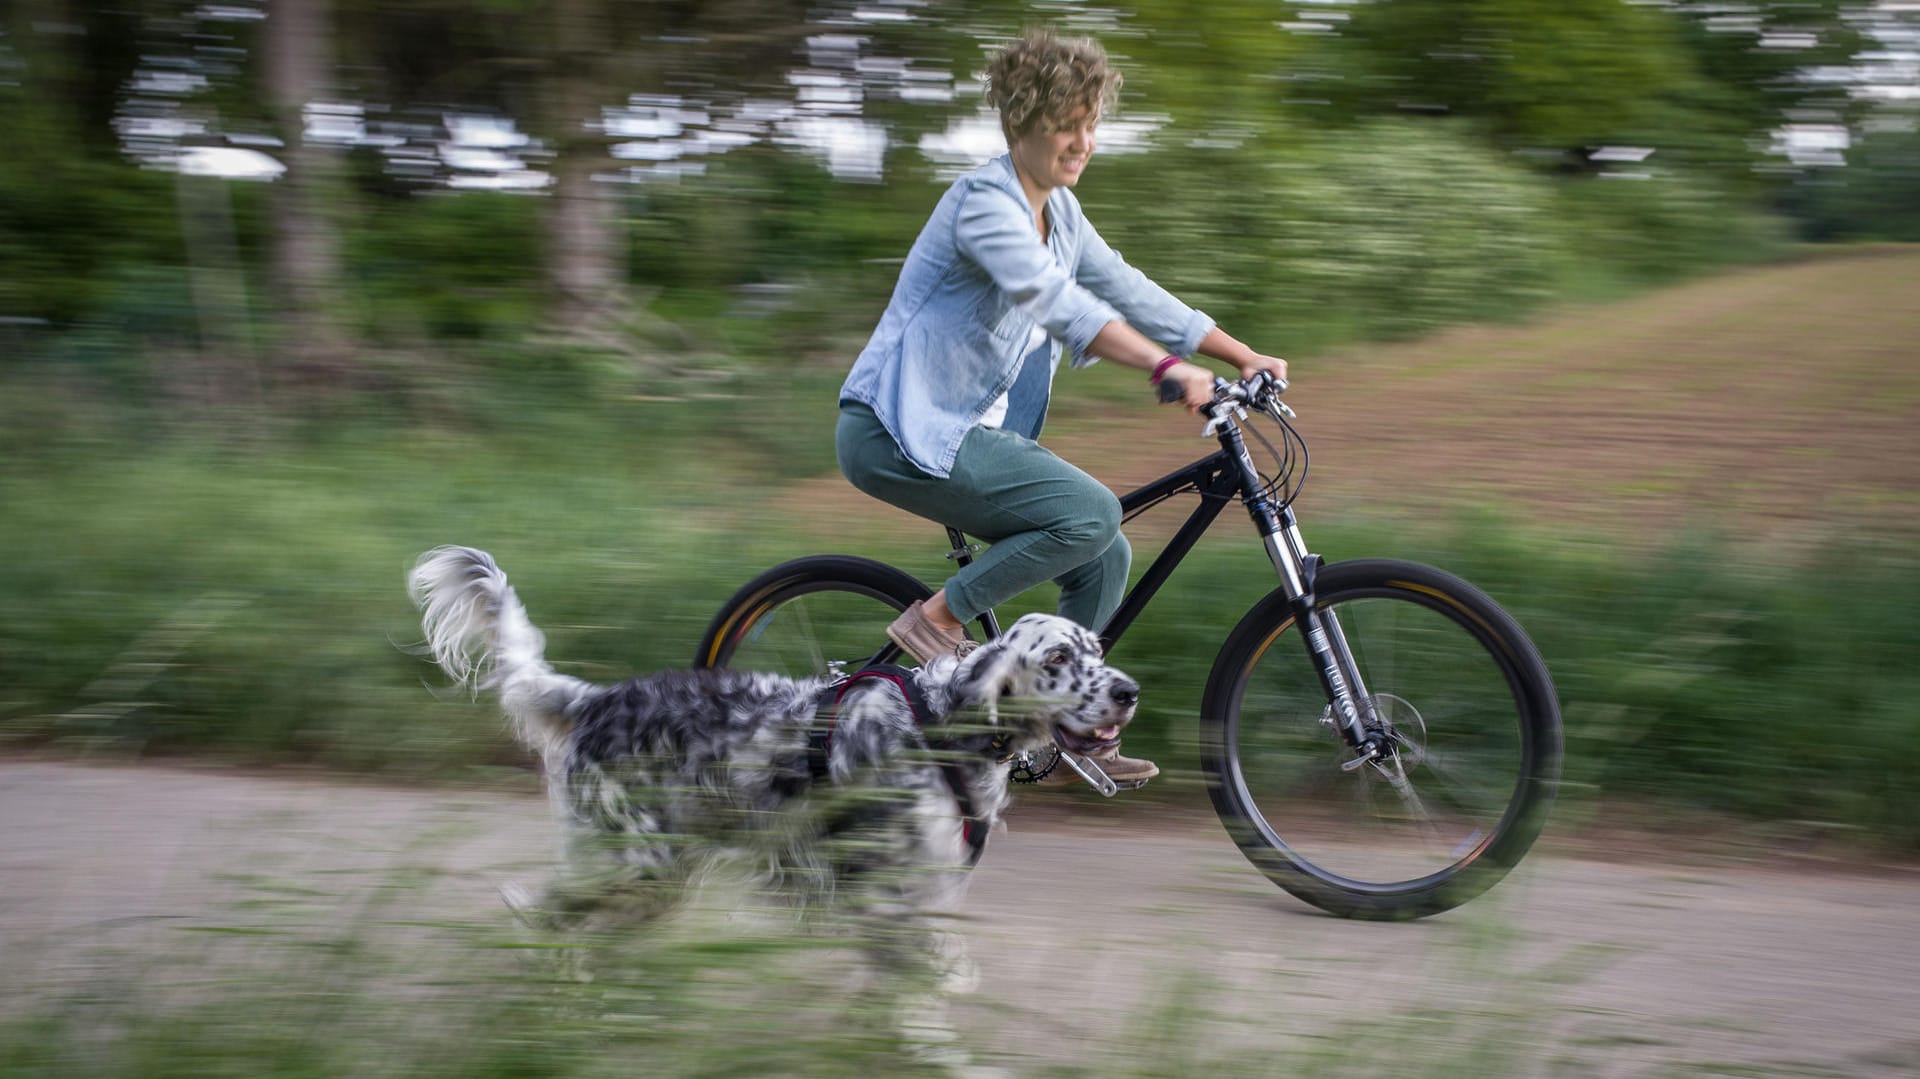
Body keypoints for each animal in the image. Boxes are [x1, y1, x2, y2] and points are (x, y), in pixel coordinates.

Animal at [399, 541, 1128, 979]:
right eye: (1057, 656)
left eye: (1096, 649)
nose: (1129, 691)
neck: (939, 724)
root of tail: (593, 699)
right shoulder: (885, 897)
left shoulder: (923, 890)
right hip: (632, 863)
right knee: (544, 913)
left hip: (658, 874)